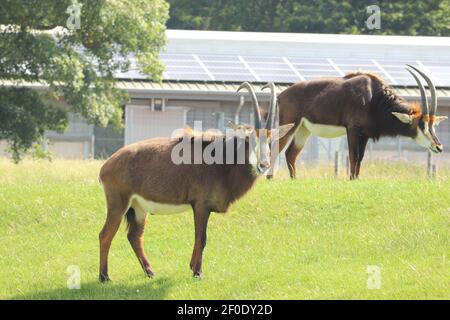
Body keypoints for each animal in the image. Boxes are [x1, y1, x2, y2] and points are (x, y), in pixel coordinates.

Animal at [98, 82, 292, 280]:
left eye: (270, 141)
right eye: (250, 139)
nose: (263, 165)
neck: (223, 162)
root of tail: (106, 166)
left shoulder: (201, 208)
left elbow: (199, 238)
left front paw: (192, 266)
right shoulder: (200, 206)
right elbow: (201, 238)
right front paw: (198, 272)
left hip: (138, 208)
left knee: (134, 236)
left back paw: (150, 272)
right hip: (118, 205)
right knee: (105, 235)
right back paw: (104, 276)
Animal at [268, 64, 448, 180]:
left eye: (433, 124)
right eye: (421, 124)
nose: (438, 146)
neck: (374, 98)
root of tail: (281, 95)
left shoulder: (365, 134)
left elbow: (360, 158)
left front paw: (356, 179)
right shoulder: (353, 129)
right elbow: (353, 156)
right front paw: (351, 180)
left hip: (303, 129)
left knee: (290, 153)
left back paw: (294, 180)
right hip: (290, 125)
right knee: (275, 147)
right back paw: (270, 178)